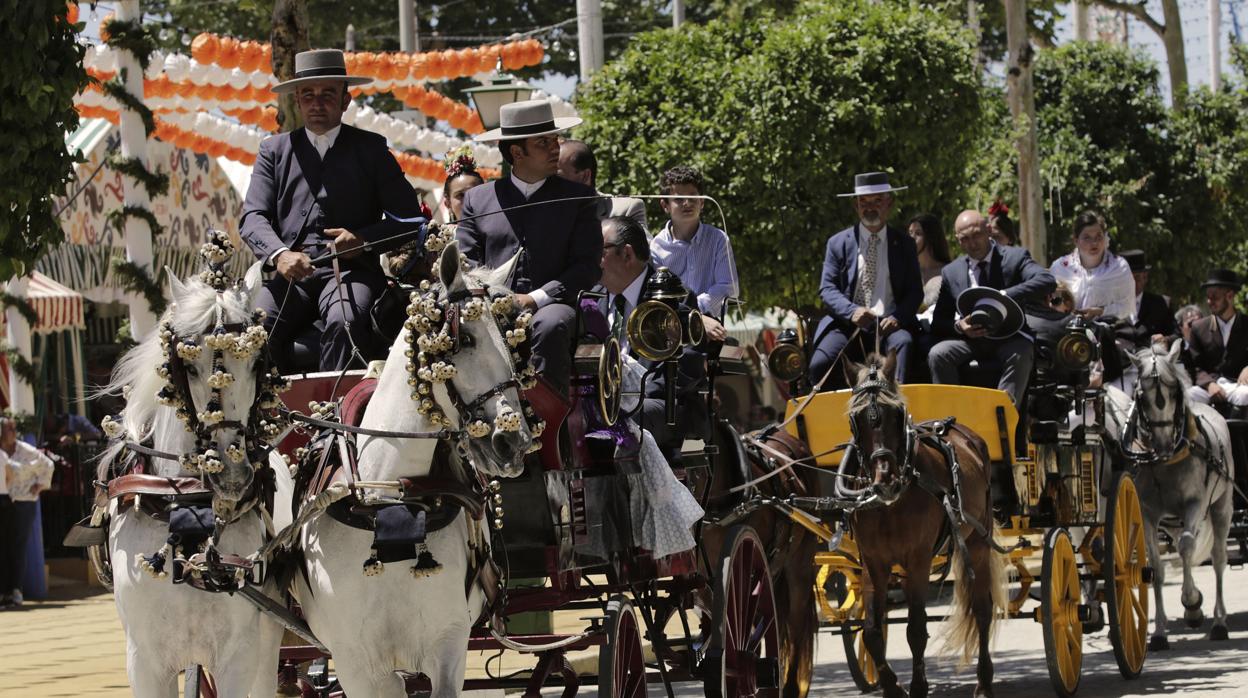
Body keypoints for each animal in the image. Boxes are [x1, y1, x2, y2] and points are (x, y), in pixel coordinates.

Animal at [98, 262, 284, 698]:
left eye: (257, 362)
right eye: (191, 365)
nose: (232, 476)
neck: (188, 510)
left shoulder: (239, 654)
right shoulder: (144, 661)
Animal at [290, 242, 536, 698]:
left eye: (513, 343)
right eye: (465, 339)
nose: (512, 441)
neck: (389, 494)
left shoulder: (448, 644)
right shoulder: (359, 666)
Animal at [838, 354, 1003, 698]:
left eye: (896, 413)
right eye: (856, 418)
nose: (884, 480)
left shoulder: (918, 559)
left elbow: (916, 628)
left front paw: (917, 687)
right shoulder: (873, 562)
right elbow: (872, 631)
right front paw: (892, 687)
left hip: (978, 542)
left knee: (982, 610)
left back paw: (984, 682)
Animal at [1108, 342, 1233, 649]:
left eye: (1174, 392)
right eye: (1141, 396)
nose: (1163, 444)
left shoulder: (1195, 504)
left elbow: (1188, 547)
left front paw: (1191, 604)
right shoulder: (1148, 513)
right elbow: (1155, 566)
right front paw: (1160, 632)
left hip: (1221, 507)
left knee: (1218, 557)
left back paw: (1219, 621)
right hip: (1173, 520)